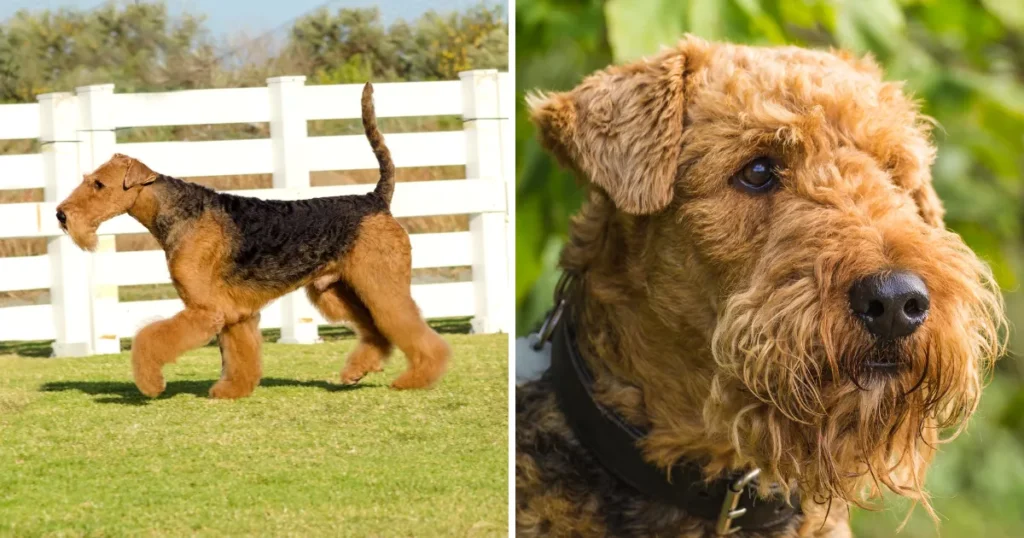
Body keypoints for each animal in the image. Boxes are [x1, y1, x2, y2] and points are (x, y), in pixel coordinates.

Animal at [55, 83, 448, 397]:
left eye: (99, 184)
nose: (61, 215)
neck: (180, 211)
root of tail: (375, 199)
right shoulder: (234, 312)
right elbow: (239, 357)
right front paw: (231, 391)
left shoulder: (206, 309)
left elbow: (148, 339)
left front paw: (151, 384)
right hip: (338, 291)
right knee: (378, 333)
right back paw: (357, 371)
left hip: (380, 285)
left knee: (412, 330)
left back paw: (414, 379)